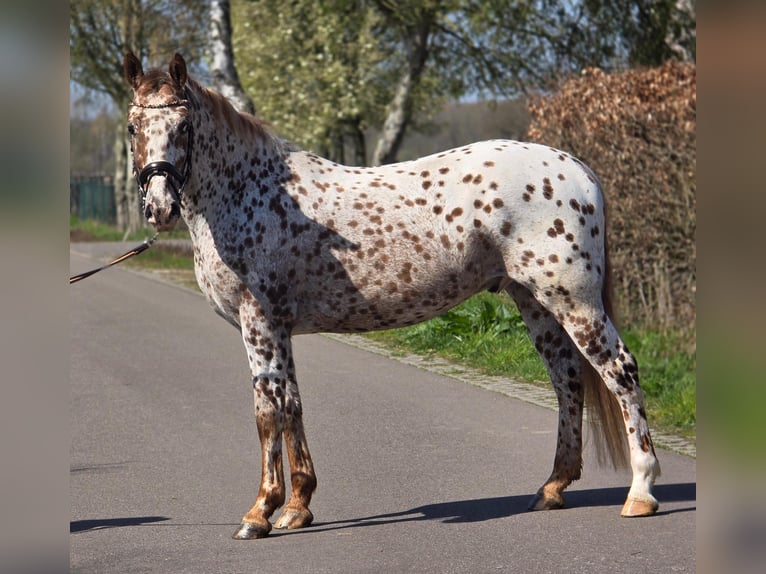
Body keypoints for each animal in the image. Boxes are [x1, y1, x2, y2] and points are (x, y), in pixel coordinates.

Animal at [123, 53, 661, 540]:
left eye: (184, 124)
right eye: (133, 127)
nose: (159, 207)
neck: (249, 193)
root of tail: (579, 170)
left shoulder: (259, 323)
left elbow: (267, 413)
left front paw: (261, 512)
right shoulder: (279, 328)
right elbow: (292, 407)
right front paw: (298, 507)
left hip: (574, 300)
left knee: (619, 372)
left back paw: (641, 492)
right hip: (534, 302)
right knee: (567, 379)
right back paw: (552, 487)